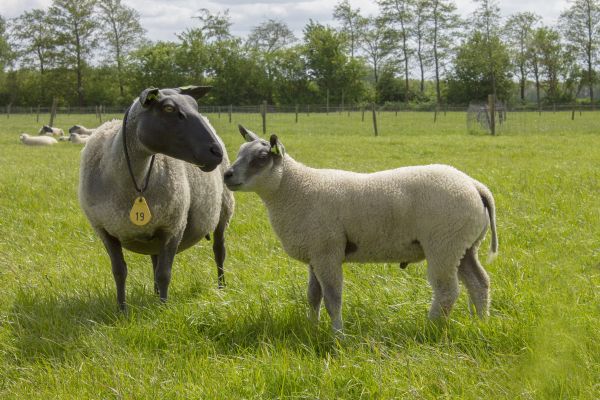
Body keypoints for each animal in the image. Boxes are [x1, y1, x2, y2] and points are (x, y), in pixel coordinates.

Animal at [81, 86, 236, 310]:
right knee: (154, 260)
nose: (216, 152)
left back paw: (221, 288)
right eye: (169, 108)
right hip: (153, 230)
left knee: (219, 251)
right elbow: (119, 271)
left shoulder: (173, 226)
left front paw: (163, 309)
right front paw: (121, 310)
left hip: (224, 210)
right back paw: (154, 295)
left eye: (195, 105)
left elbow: (164, 274)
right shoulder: (104, 230)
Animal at [225, 126, 496, 334]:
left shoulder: (328, 253)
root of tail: (475, 186)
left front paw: (337, 334)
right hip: (464, 245)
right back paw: (481, 323)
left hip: (443, 244)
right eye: (239, 152)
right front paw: (312, 328)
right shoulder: (315, 254)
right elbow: (313, 296)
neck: (294, 189)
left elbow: (332, 298)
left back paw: (430, 327)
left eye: (261, 157)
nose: (227, 175)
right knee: (479, 283)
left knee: (447, 290)